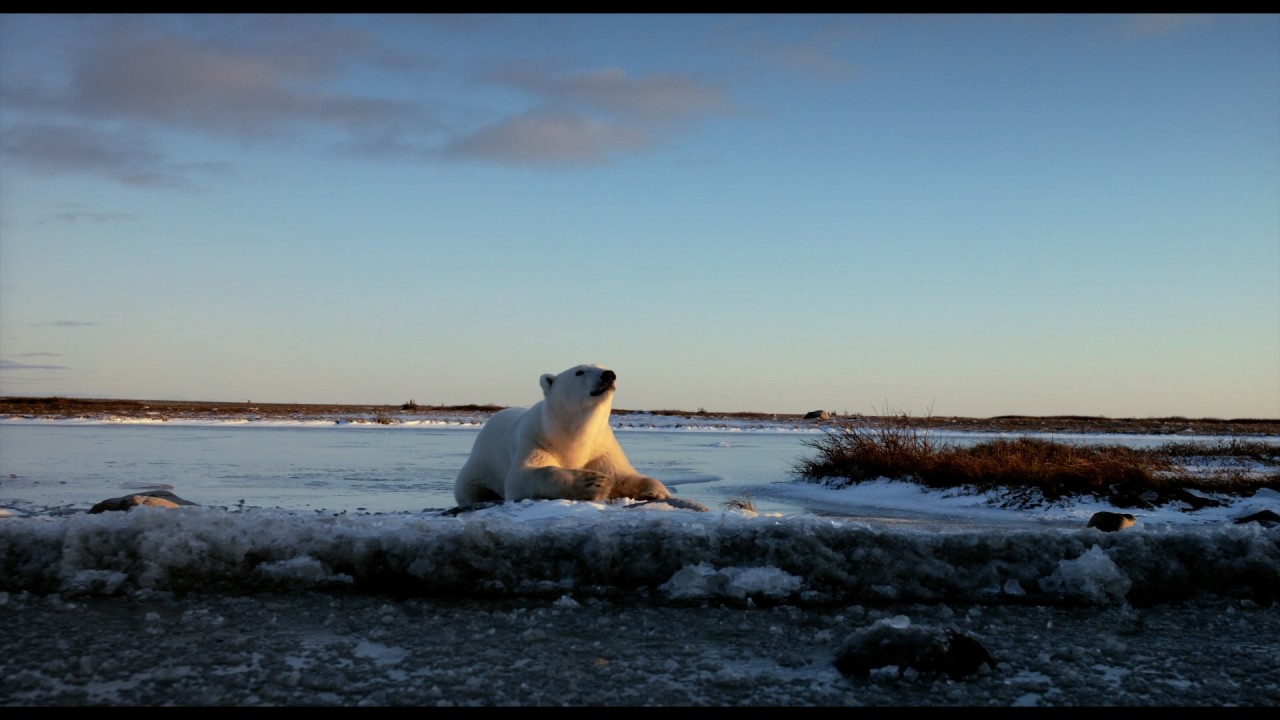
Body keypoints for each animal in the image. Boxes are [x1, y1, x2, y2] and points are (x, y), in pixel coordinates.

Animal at [453, 361, 670, 502]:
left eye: (602, 365)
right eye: (580, 372)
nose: (609, 374)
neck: (569, 432)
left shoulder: (601, 448)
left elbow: (624, 475)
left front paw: (656, 492)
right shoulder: (536, 438)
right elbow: (522, 476)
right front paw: (593, 481)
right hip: (480, 465)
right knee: (469, 489)